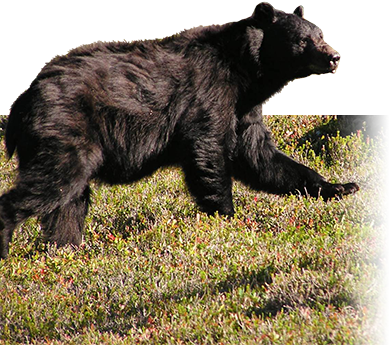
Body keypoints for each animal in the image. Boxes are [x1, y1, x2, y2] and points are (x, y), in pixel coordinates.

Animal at [0, 2, 358, 255]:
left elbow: (261, 158)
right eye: (303, 40)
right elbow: (209, 152)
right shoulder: (210, 95)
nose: (334, 57)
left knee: (68, 203)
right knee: (53, 185)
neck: (245, 74)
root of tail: (23, 101)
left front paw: (340, 186)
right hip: (67, 131)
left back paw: (68, 249)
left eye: (320, 34)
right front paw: (227, 216)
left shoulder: (243, 111)